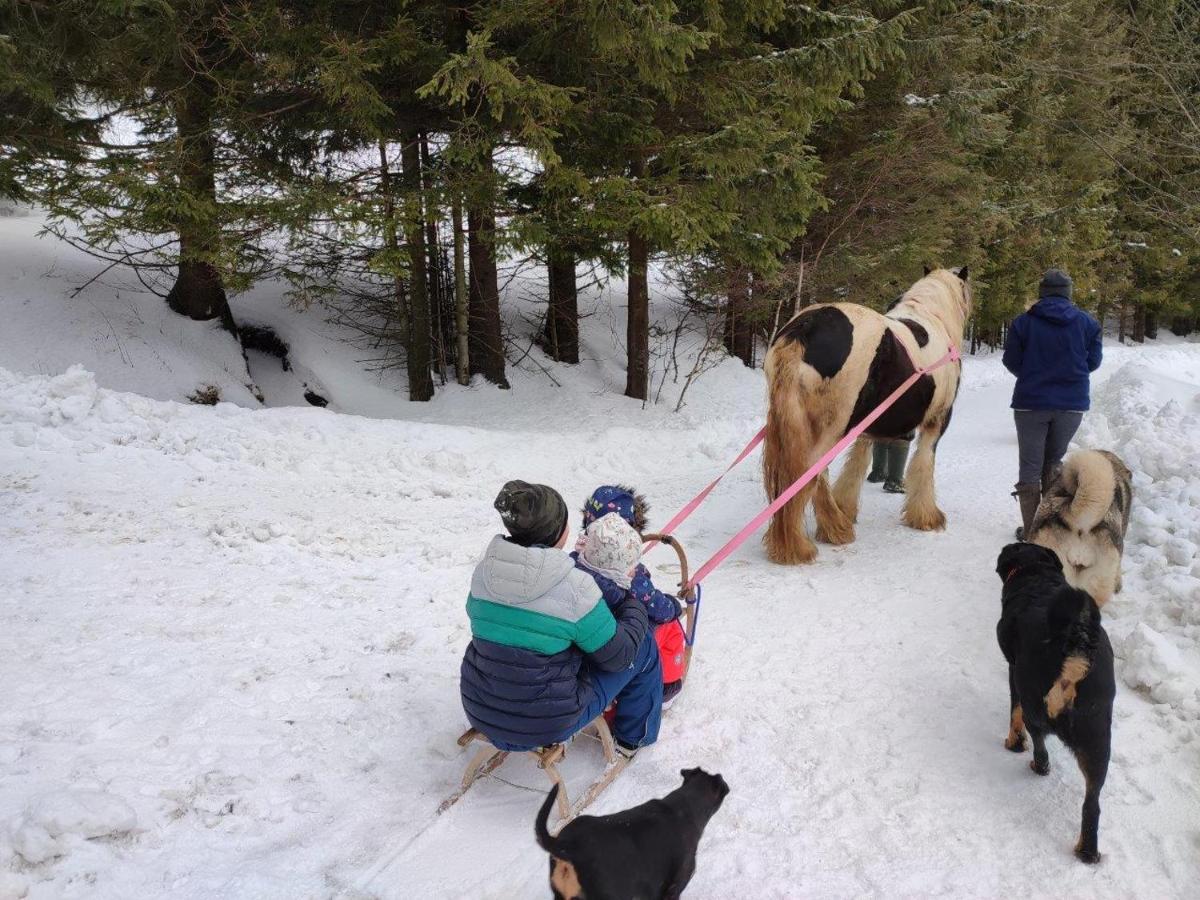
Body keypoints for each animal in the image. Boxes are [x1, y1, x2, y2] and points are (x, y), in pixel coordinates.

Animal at [763, 267, 969, 564]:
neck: (933, 319)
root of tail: (806, 327)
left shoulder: (868, 426)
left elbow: (857, 464)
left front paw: (846, 507)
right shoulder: (937, 422)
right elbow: (923, 463)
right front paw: (927, 517)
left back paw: (827, 529)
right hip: (831, 426)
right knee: (812, 472)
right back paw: (821, 536)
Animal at [993, 542, 1113, 868]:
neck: (1037, 575)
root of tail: (1076, 649)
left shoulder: (1013, 672)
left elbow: (1013, 713)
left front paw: (1013, 742)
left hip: (1035, 704)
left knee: (1039, 742)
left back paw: (1038, 764)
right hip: (1098, 742)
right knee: (1092, 805)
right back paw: (1087, 852)